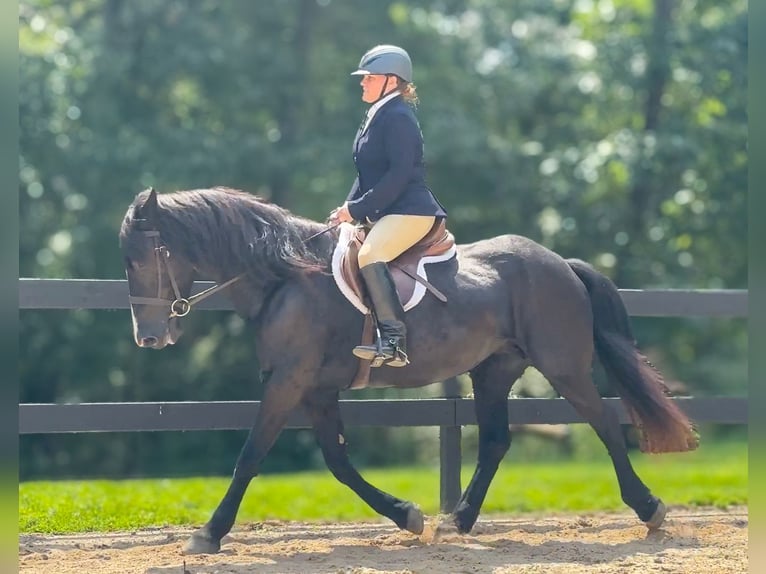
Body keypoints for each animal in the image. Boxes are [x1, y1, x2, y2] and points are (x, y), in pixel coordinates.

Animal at [120, 187, 704, 556]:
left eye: (140, 259)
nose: (148, 338)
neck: (286, 278)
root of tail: (560, 262)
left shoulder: (288, 382)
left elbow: (249, 457)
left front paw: (208, 534)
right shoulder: (315, 389)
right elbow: (338, 463)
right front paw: (407, 515)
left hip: (563, 367)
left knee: (604, 424)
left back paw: (649, 508)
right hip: (493, 372)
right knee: (496, 440)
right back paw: (458, 520)